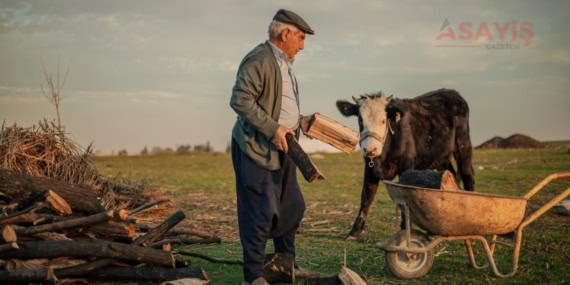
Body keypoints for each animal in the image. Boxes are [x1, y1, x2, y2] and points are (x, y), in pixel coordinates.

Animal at [336, 87, 472, 239]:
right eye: (360, 120)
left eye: (383, 120)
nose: (370, 149)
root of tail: (452, 92)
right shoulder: (370, 169)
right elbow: (366, 198)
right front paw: (354, 232)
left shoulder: (406, 166)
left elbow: (404, 195)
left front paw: (404, 229)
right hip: (441, 157)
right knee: (450, 175)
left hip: (463, 146)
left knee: (468, 175)